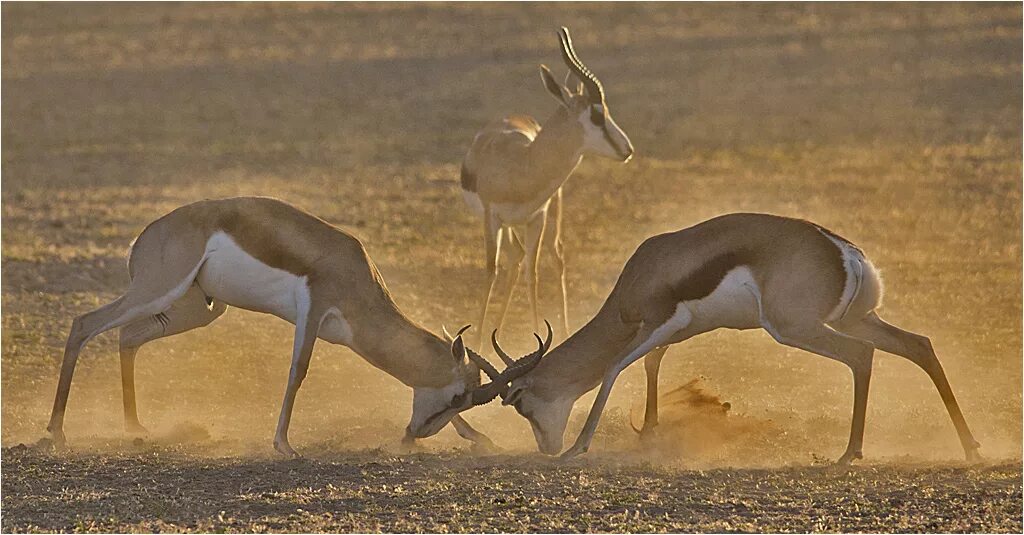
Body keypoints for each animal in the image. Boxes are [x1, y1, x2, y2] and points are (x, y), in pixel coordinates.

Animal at [45, 195, 540, 453]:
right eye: (458, 396)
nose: (413, 435)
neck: (356, 273)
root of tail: (146, 236)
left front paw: (481, 438)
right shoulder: (313, 310)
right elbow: (297, 372)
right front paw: (283, 444)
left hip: (198, 308)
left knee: (127, 336)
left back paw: (135, 427)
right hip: (158, 290)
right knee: (84, 324)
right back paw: (56, 431)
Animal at [462, 27, 630, 346]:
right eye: (596, 115)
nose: (627, 149)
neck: (521, 166)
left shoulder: (536, 218)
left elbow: (534, 273)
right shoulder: (492, 217)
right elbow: (491, 270)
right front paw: (476, 342)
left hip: (552, 214)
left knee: (554, 255)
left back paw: (561, 329)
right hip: (509, 225)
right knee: (514, 258)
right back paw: (495, 332)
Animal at [487, 210, 983, 459]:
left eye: (520, 403)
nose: (546, 449)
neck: (643, 274)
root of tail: (844, 251)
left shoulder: (655, 322)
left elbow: (612, 369)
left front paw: (578, 447)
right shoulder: (676, 330)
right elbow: (650, 363)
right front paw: (649, 432)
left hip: (798, 328)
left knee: (861, 356)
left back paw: (850, 454)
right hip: (856, 319)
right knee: (920, 345)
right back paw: (971, 447)